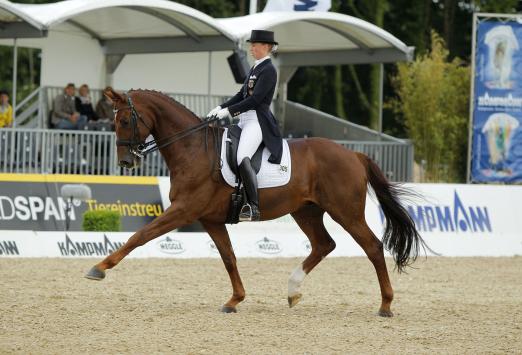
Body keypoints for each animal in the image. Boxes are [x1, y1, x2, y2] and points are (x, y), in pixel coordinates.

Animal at [86, 88, 426, 318]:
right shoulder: (210, 219)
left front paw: (99, 268)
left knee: (372, 247)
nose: (126, 162)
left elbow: (139, 236)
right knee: (323, 245)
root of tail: (354, 154)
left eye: (126, 119)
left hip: (346, 212)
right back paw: (293, 291)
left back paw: (385, 305)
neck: (193, 148)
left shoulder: (183, 211)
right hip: (306, 211)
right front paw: (234, 300)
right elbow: (229, 258)